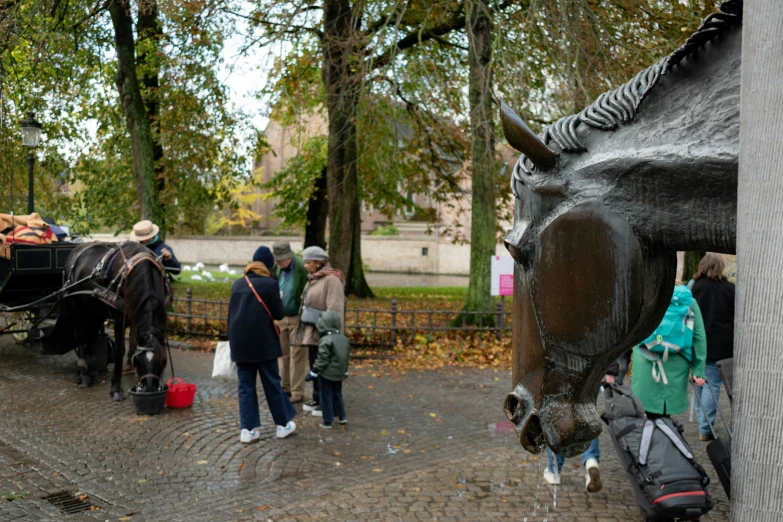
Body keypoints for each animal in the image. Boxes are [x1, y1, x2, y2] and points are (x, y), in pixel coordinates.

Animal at [62, 241, 168, 398]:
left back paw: (94, 373)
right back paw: (83, 375)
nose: (150, 388)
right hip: (76, 304)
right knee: (80, 336)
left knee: (92, 337)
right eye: (138, 361)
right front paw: (116, 389)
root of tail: (77, 249)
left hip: (95, 310)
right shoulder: (119, 318)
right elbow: (119, 350)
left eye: (162, 360)